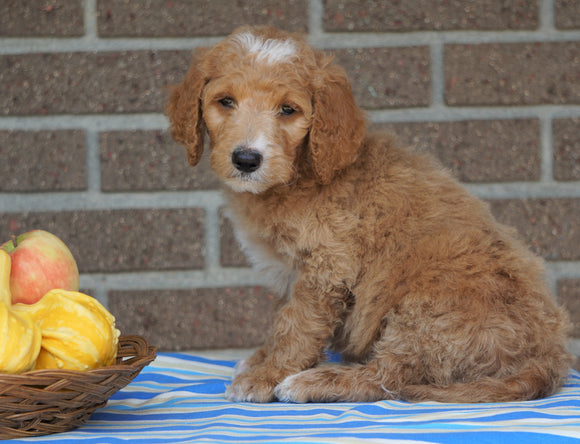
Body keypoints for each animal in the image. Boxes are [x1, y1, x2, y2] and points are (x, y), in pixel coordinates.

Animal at [165, 26, 572, 404]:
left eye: (288, 110)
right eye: (225, 101)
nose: (247, 159)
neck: (302, 174)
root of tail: (548, 355)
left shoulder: (327, 265)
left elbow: (297, 325)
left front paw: (267, 375)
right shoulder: (291, 272)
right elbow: (283, 319)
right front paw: (260, 360)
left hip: (426, 306)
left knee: (389, 377)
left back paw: (314, 382)